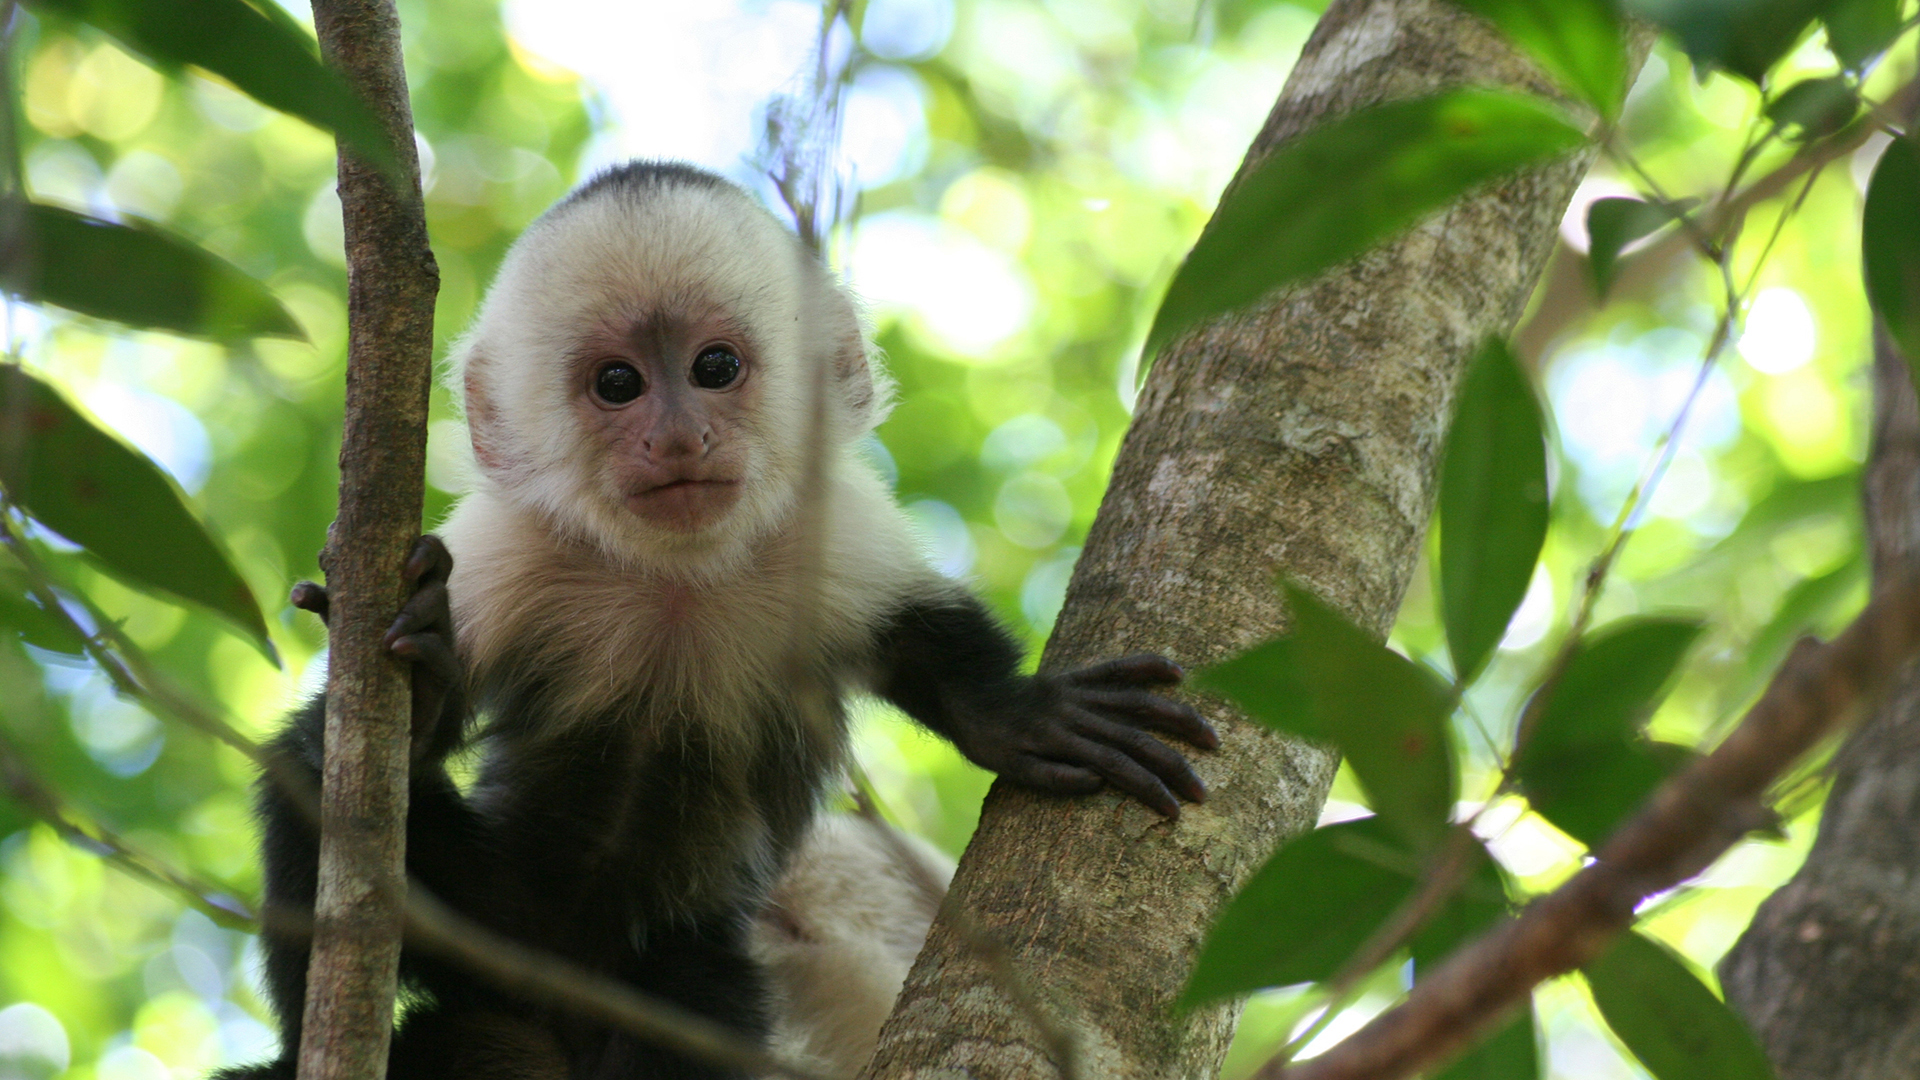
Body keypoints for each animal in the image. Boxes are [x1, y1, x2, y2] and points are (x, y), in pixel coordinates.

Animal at [224, 161, 1216, 1080]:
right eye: (617, 383)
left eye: (715, 368)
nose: (674, 438)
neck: (679, 580)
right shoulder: (510, 548)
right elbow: (376, 732)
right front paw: (426, 685)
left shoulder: (829, 530)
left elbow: (923, 641)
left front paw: (1025, 715)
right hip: (494, 919)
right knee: (310, 777)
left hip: (678, 958)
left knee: (696, 1004)